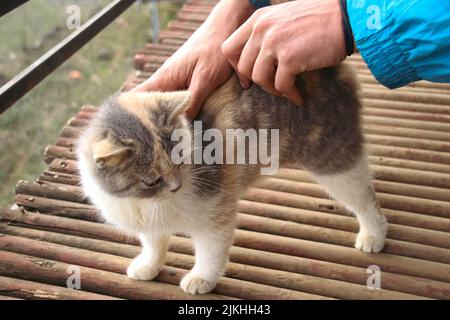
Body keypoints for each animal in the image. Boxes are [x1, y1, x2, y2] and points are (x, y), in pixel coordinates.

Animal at [77, 65, 386, 296]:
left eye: (180, 159)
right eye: (151, 181)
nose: (176, 186)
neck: (143, 203)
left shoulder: (215, 210)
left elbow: (211, 252)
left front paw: (201, 279)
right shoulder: (150, 225)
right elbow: (154, 245)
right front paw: (148, 266)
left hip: (335, 160)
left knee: (366, 200)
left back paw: (373, 235)